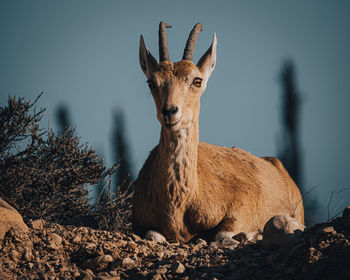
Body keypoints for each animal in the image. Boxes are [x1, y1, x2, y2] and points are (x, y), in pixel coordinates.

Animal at [131, 21, 304, 244]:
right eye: (152, 82)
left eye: (196, 80)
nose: (169, 111)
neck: (181, 203)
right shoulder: (142, 223)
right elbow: (152, 235)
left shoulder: (243, 202)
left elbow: (222, 234)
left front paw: (251, 234)